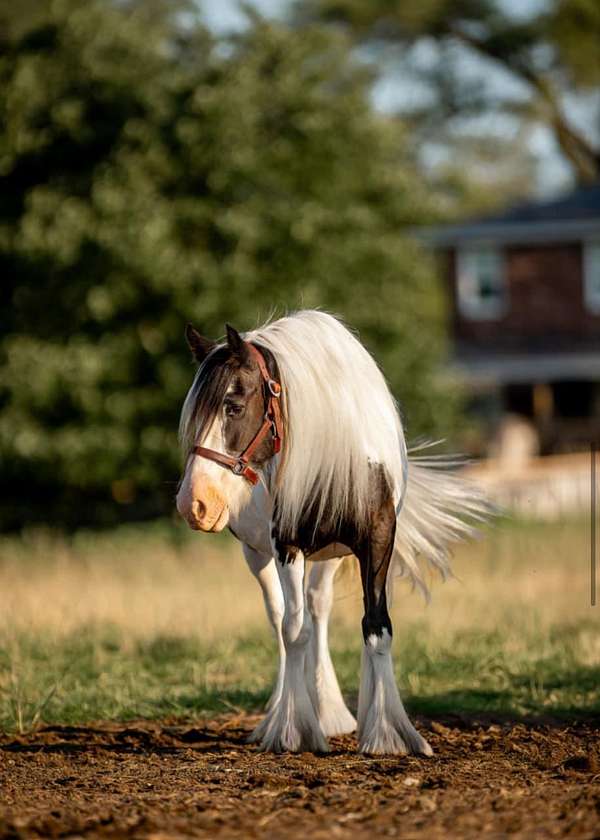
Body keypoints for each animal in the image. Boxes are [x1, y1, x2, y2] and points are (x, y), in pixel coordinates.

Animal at [175, 310, 488, 756]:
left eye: (232, 406)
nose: (194, 503)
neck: (340, 452)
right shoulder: (286, 545)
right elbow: (293, 630)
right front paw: (293, 730)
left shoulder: (377, 542)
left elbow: (376, 626)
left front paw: (388, 734)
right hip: (258, 554)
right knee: (282, 618)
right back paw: (285, 713)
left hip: (331, 556)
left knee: (317, 607)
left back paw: (329, 711)